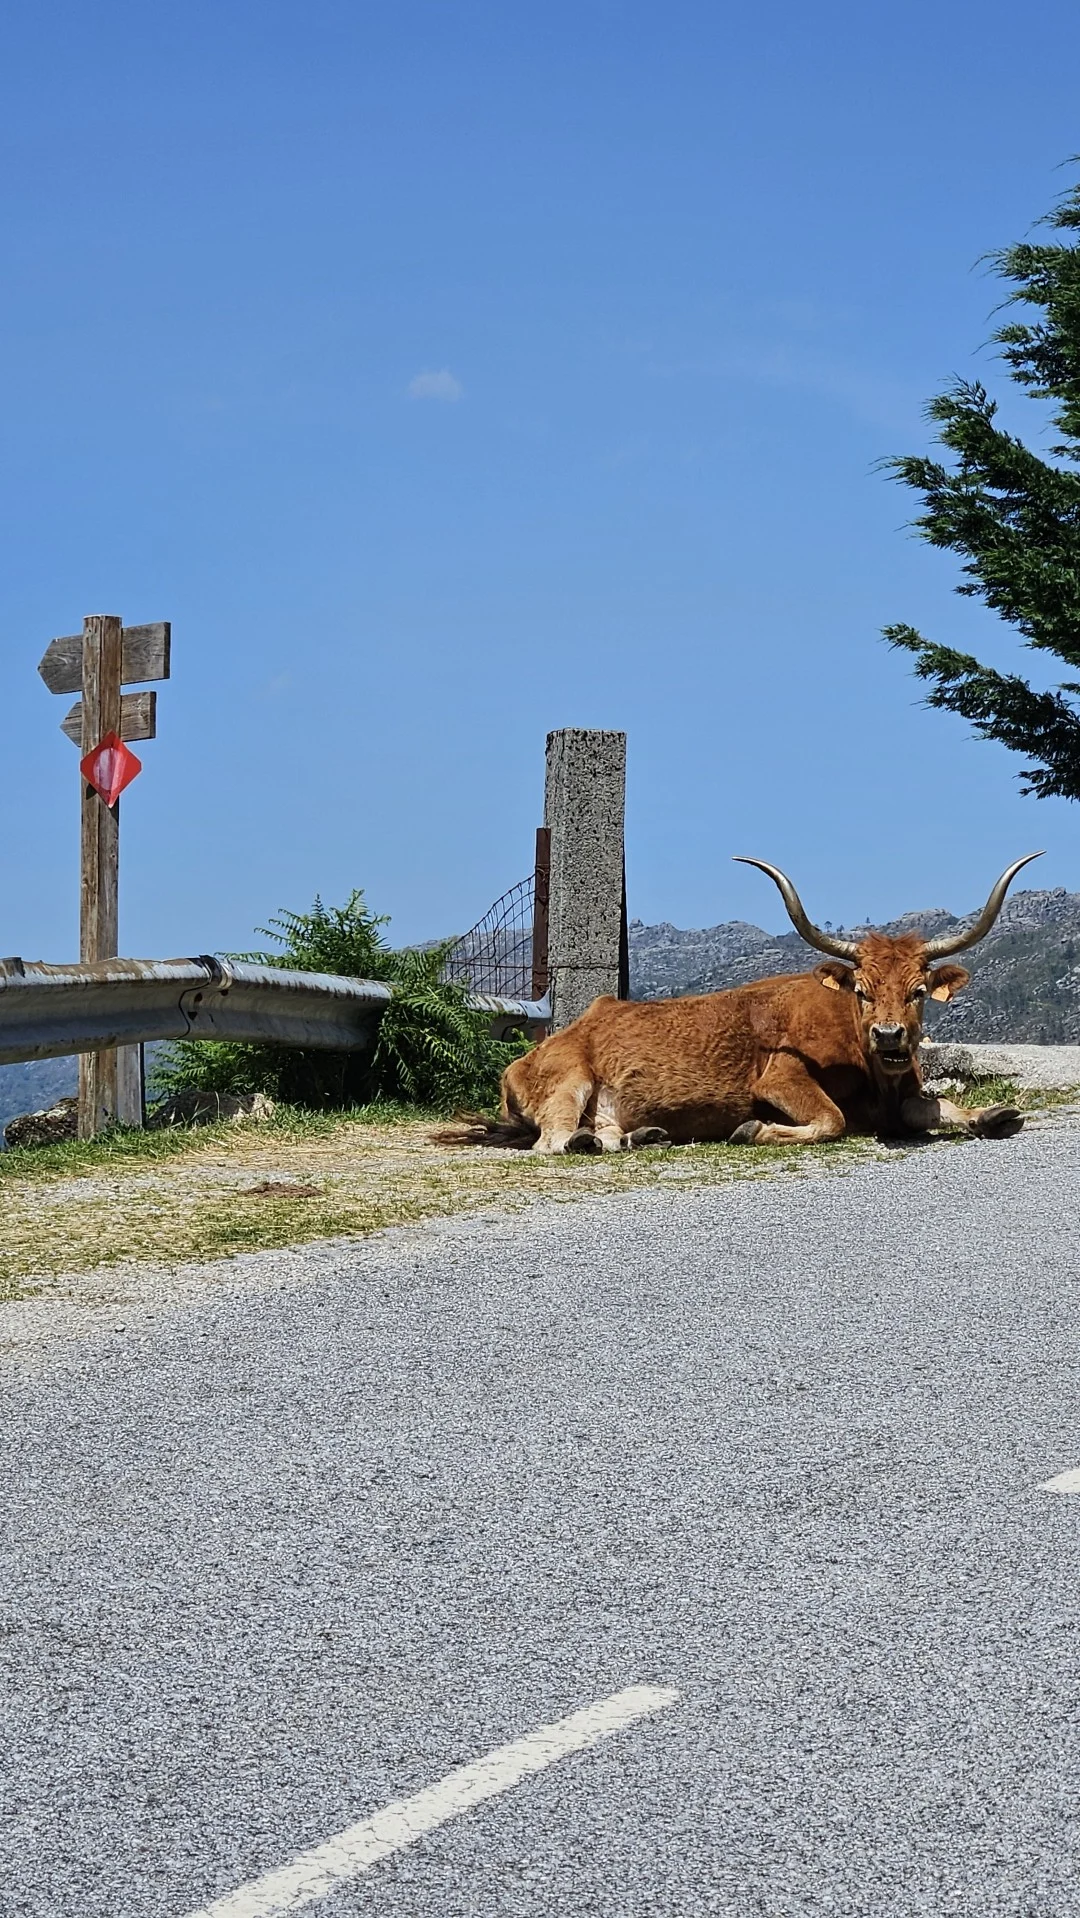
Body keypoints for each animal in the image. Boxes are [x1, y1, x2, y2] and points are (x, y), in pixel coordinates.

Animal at [440, 853, 1043, 1154]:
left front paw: (995, 1113)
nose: (891, 1035)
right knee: (553, 1141)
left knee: (602, 1134)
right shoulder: (779, 1079)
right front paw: (754, 1130)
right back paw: (592, 1141)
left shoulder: (905, 1095)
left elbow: (939, 1108)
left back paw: (640, 1136)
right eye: (863, 991)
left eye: (918, 992)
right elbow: (832, 1119)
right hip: (569, 1080)